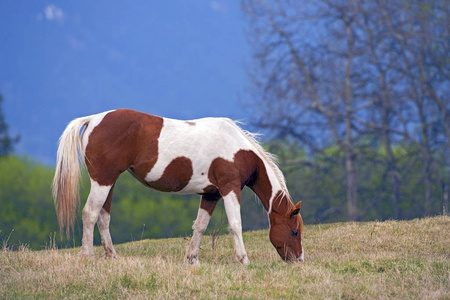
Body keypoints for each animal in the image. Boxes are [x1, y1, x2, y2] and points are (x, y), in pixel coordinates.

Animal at [51, 109, 306, 264]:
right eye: (294, 231)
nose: (298, 260)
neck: (237, 150)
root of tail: (93, 119)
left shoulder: (211, 194)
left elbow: (200, 226)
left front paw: (192, 259)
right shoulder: (229, 188)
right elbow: (235, 225)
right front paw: (243, 260)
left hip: (109, 182)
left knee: (103, 217)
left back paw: (111, 255)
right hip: (102, 180)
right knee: (90, 213)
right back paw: (87, 255)